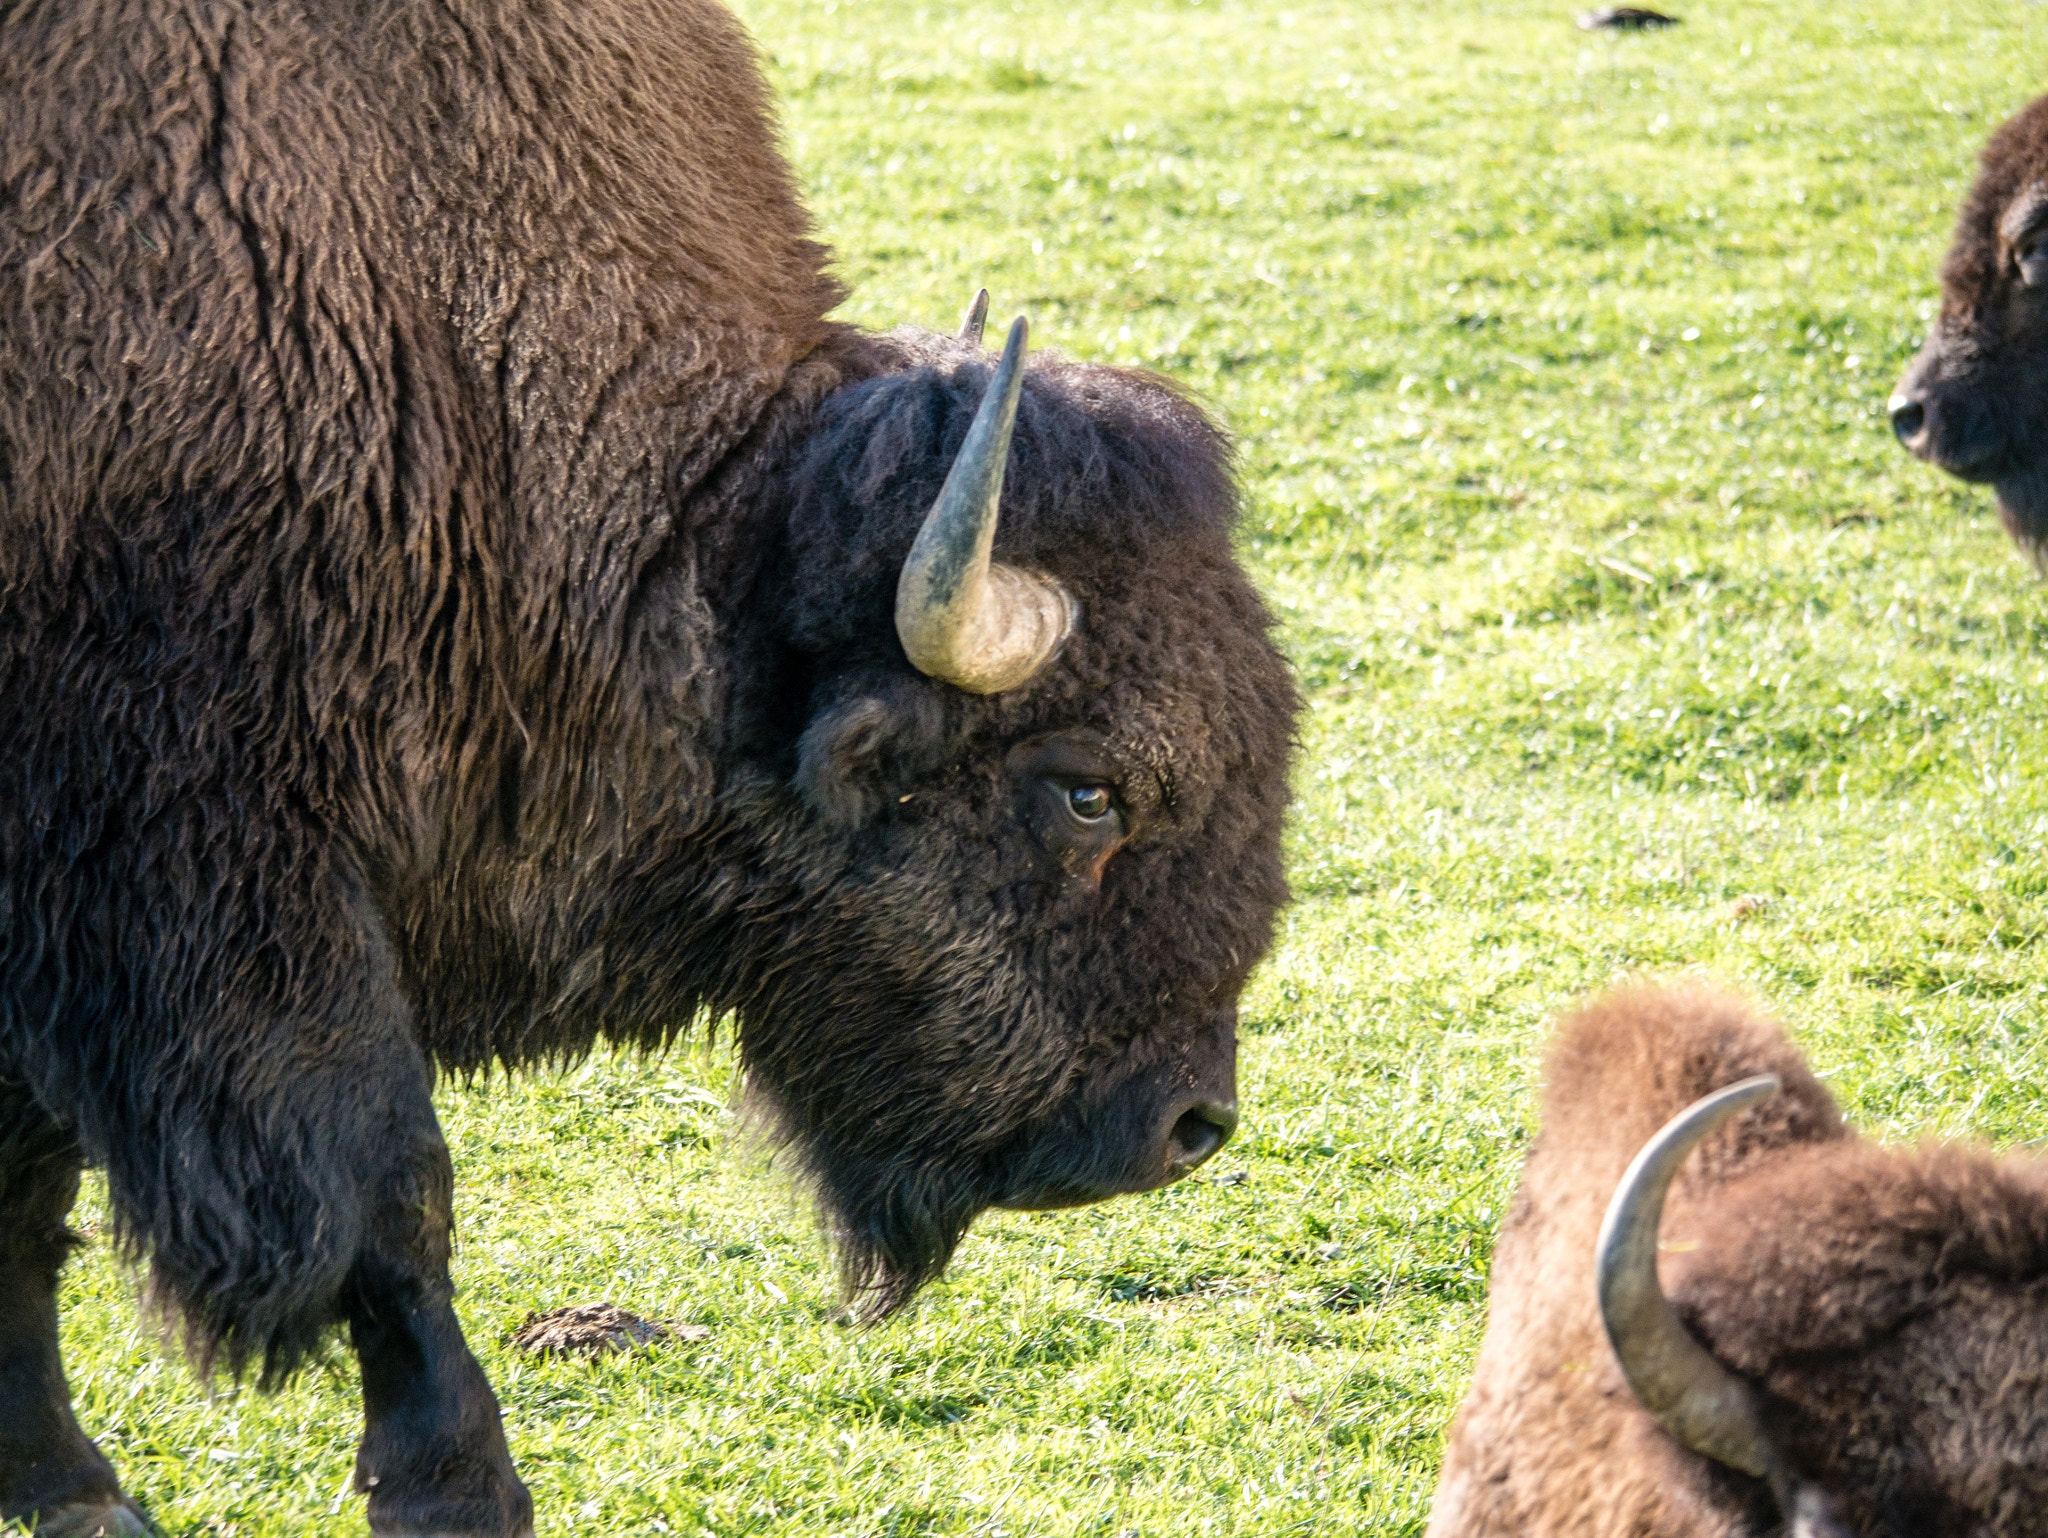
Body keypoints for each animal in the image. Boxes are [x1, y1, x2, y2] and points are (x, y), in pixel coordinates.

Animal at [0, 2, 1297, 1533]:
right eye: (1087, 787)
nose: (1189, 1122)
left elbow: (23, 1192)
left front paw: (66, 1483)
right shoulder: (223, 863)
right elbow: (387, 1185)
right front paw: (459, 1488)